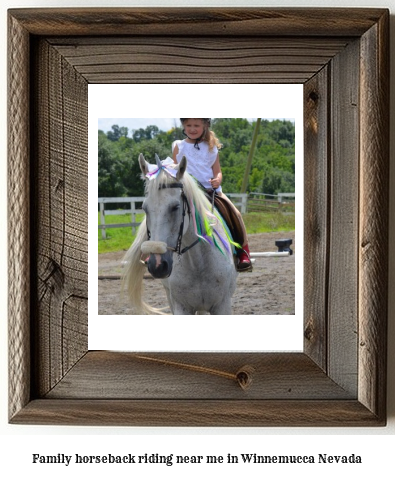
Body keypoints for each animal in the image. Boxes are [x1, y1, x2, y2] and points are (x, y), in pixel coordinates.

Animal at [122, 155, 237, 316]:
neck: (198, 263)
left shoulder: (222, 306)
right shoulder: (181, 307)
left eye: (175, 207)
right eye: (144, 208)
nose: (157, 265)